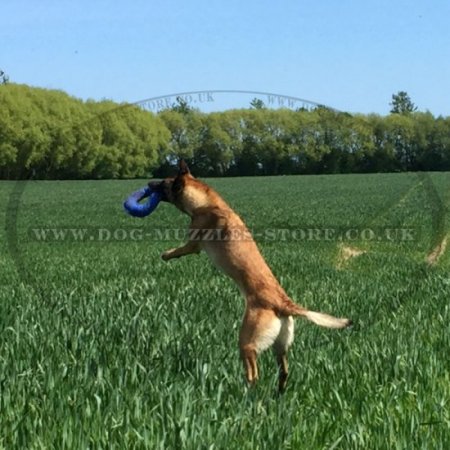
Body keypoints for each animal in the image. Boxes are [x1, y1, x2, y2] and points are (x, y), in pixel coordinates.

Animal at [149, 160, 354, 392]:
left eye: (164, 183)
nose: (148, 183)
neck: (206, 202)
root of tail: (284, 304)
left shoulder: (193, 243)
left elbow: (180, 249)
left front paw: (166, 254)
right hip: (280, 345)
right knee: (284, 371)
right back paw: (278, 393)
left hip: (247, 339)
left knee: (253, 373)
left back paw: (246, 392)